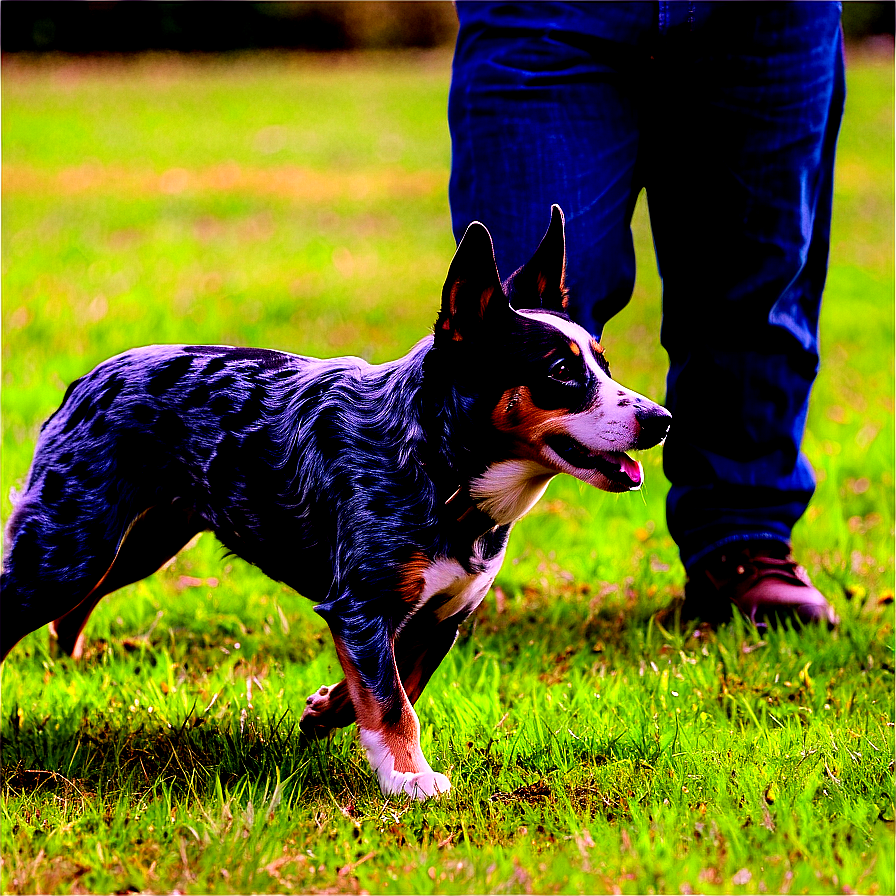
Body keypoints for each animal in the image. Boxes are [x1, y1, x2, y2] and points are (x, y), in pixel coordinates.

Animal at [1, 208, 672, 800]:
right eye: (560, 372)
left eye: (603, 363)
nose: (661, 419)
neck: (438, 464)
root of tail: (86, 379)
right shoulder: (361, 605)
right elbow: (395, 703)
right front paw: (409, 779)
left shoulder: (438, 616)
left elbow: (393, 686)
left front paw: (327, 711)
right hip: (64, 553)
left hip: (133, 545)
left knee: (74, 609)